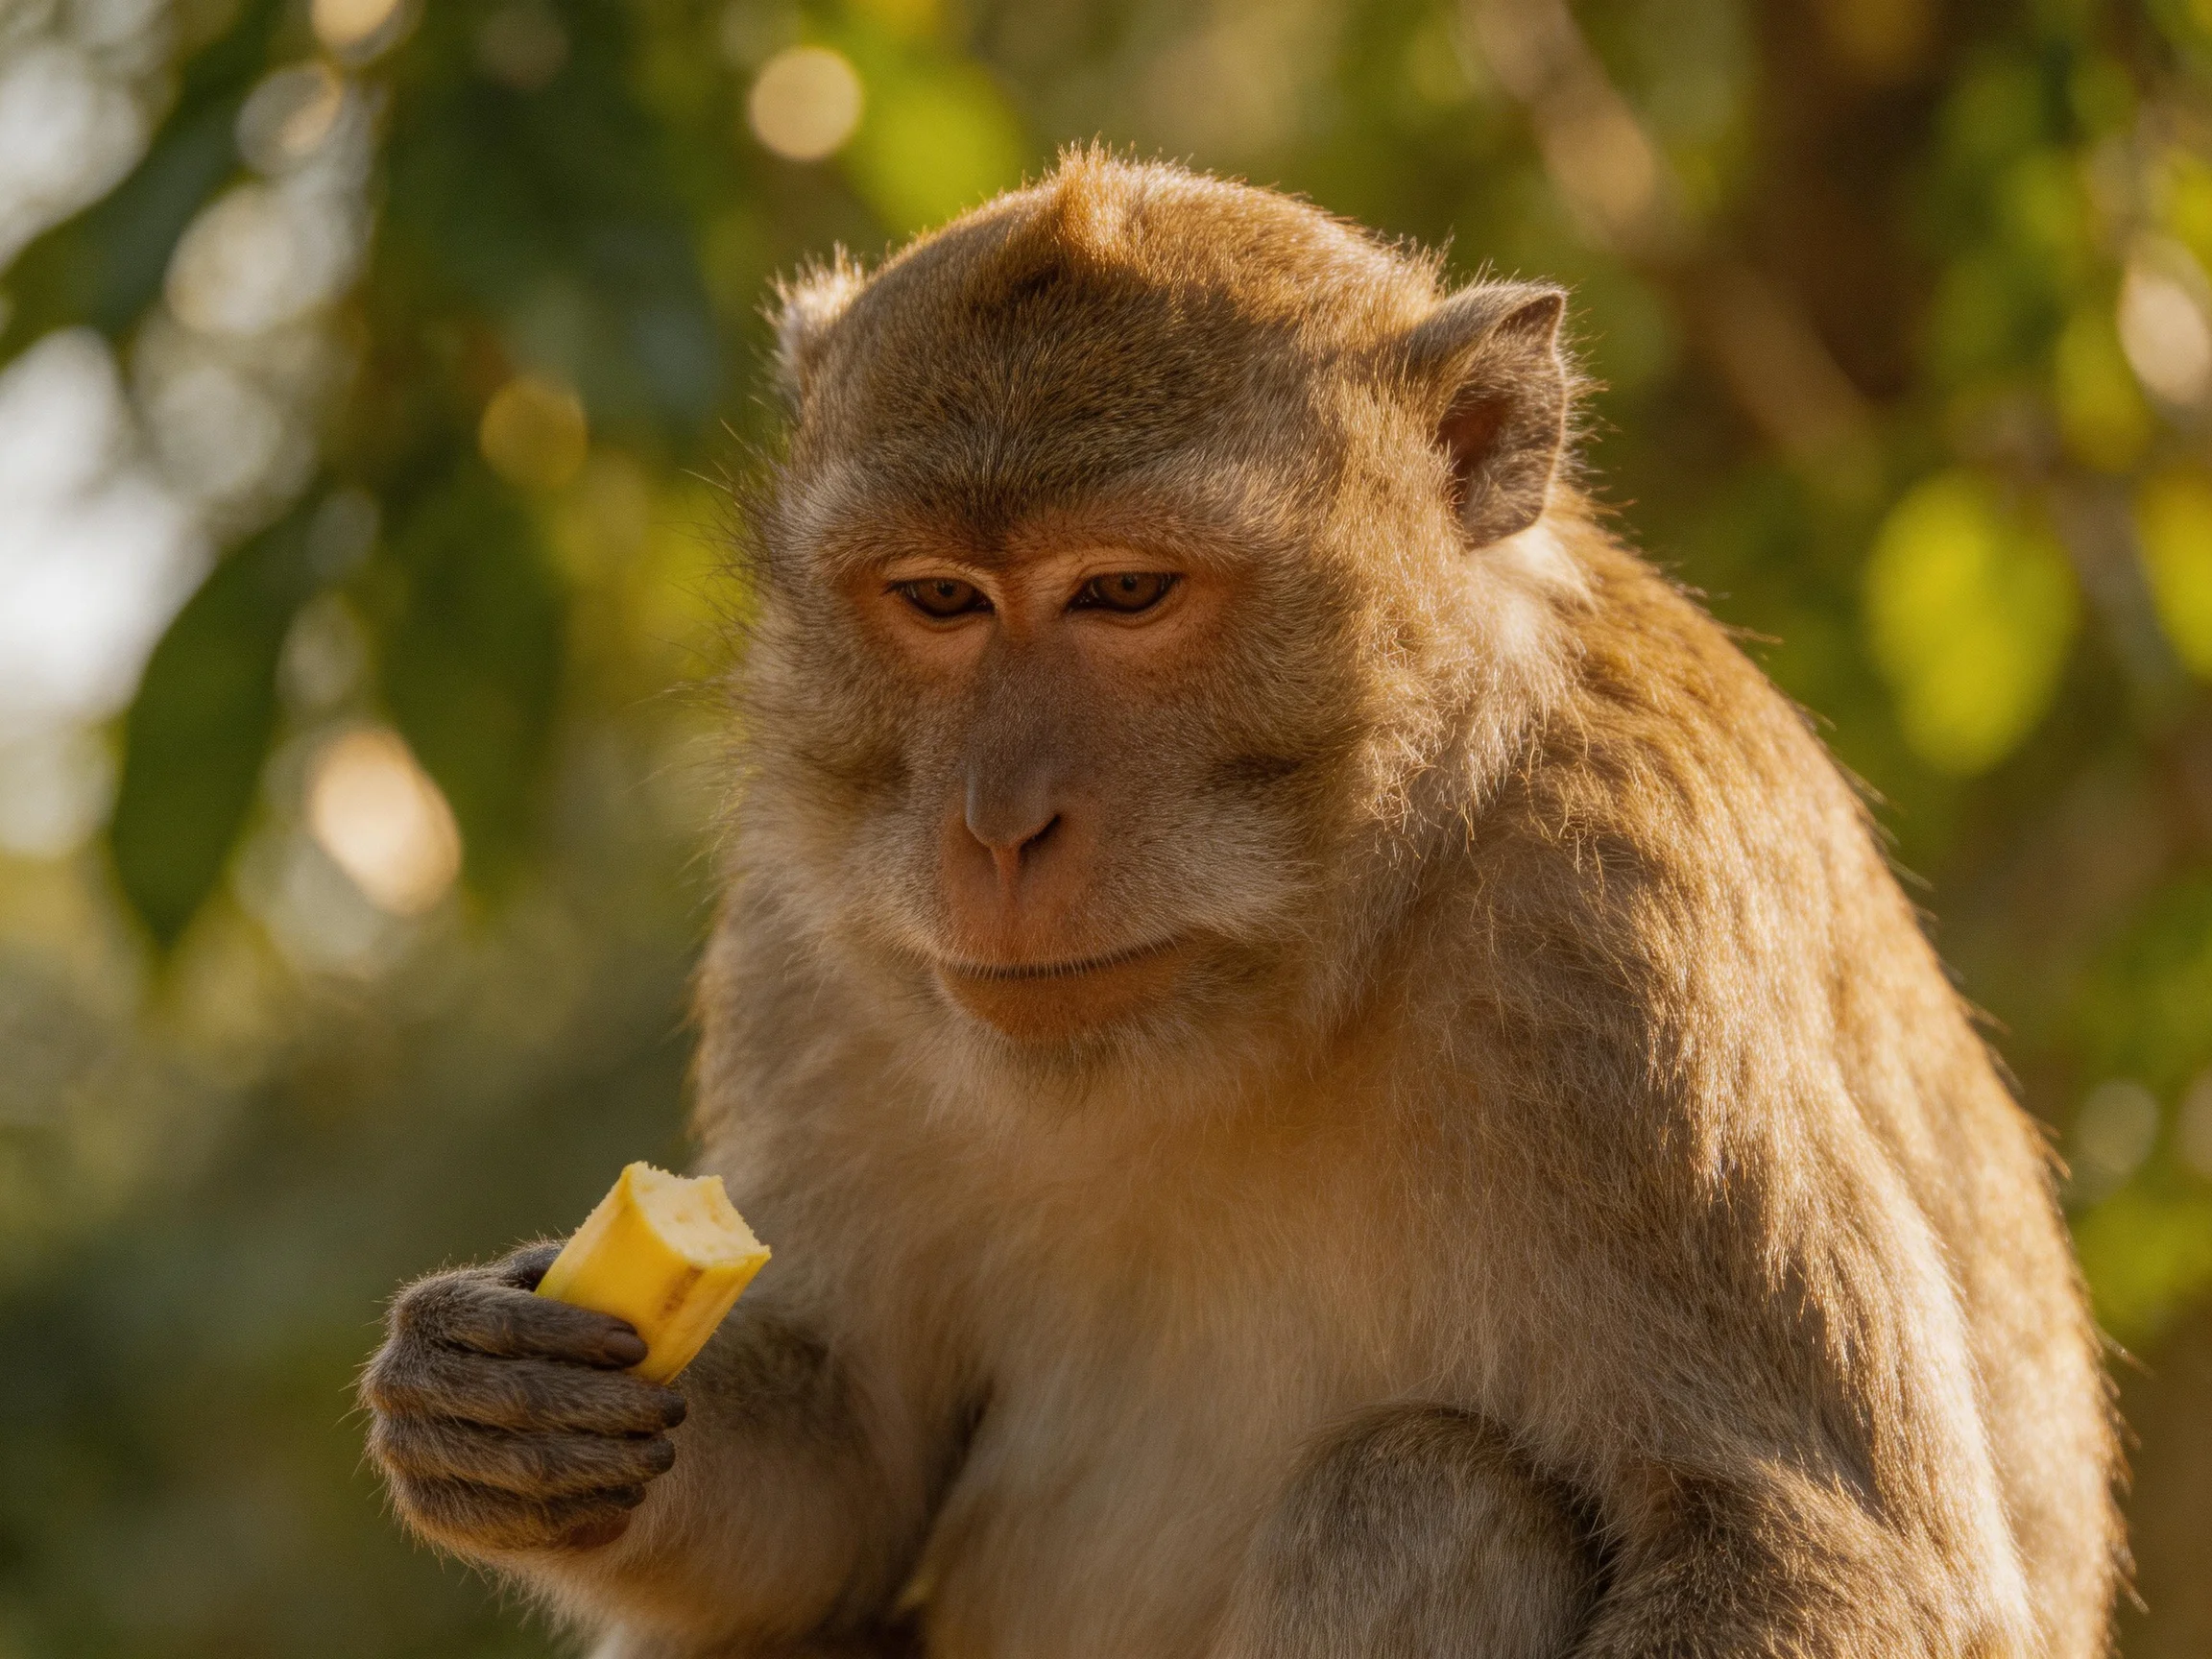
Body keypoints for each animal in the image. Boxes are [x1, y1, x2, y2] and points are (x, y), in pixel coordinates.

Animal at [361, 152, 2121, 1658]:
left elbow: (1813, 1550)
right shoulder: (815, 928)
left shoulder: (1619, 932)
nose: (995, 826)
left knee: (1422, 1488)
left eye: (1124, 592)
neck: (1310, 959)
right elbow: (849, 1471)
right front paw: (486, 1393)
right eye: (937, 598)